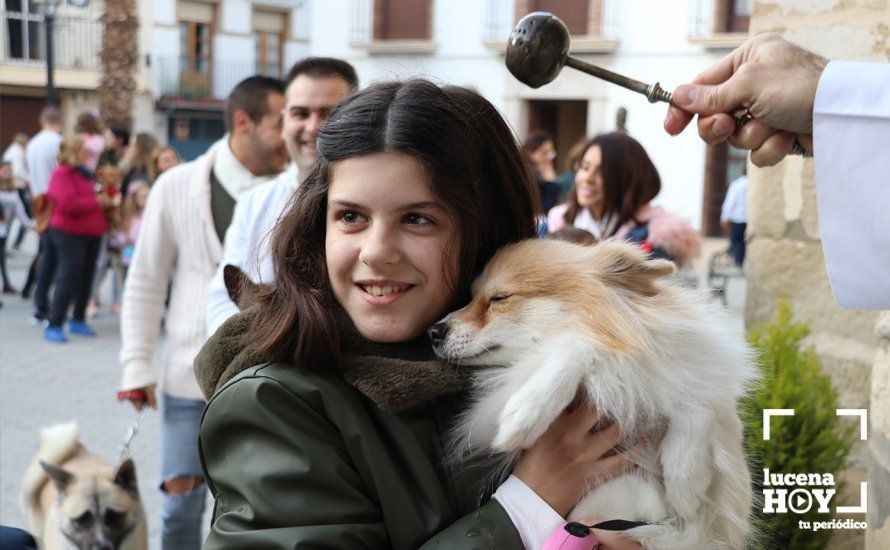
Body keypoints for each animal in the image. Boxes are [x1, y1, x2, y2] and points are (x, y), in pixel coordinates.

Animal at [430, 242, 756, 550]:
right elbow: (579, 344)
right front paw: (525, 414)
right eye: (470, 297)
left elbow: (700, 400)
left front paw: (686, 484)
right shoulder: (489, 409)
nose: (434, 331)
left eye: (499, 298)